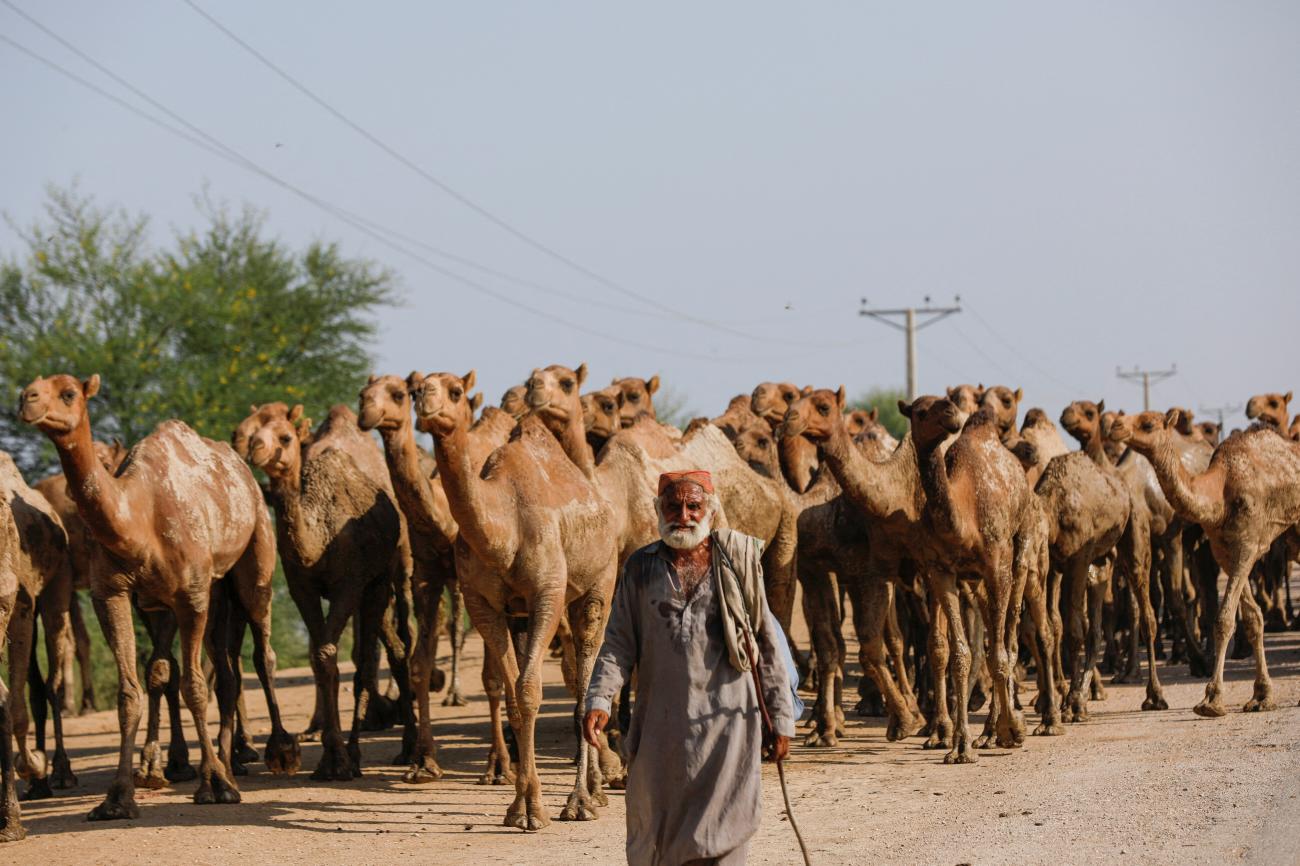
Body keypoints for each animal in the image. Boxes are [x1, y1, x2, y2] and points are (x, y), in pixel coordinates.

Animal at [21, 371, 297, 816]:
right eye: (33, 384)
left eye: (68, 393)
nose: (26, 400)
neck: (139, 516)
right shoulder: (116, 595)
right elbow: (135, 688)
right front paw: (119, 795)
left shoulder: (190, 595)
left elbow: (193, 686)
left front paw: (214, 785)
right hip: (212, 590)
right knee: (226, 669)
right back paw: (229, 759)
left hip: (255, 552)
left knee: (261, 649)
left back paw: (279, 751)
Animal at [244, 408, 405, 780]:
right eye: (251, 432)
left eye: (286, 437)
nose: (256, 449)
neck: (317, 541)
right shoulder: (301, 587)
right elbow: (320, 657)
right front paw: (327, 756)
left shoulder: (348, 584)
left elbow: (327, 653)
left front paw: (338, 761)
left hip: (378, 581)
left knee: (367, 659)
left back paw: (364, 752)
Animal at [416, 371, 618, 832]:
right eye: (415, 387)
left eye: (455, 391)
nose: (425, 401)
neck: (502, 528)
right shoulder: (484, 603)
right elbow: (512, 693)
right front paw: (519, 805)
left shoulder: (547, 593)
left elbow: (529, 691)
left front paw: (538, 809)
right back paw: (593, 789)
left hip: (599, 583)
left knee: (585, 675)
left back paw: (584, 798)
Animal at [1107, 410, 1300, 712]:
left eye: (1148, 423)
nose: (1115, 425)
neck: (1219, 494)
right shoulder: (1225, 551)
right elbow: (1252, 617)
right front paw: (1261, 695)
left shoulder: (1247, 544)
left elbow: (1224, 618)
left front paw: (1212, 699)